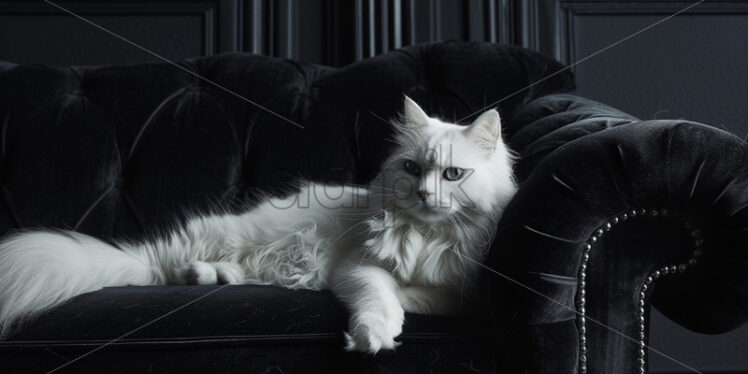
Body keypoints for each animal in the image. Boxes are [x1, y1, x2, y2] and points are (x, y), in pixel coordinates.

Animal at [0, 97, 516, 354]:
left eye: (452, 174)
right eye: (411, 169)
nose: (425, 195)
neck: (428, 235)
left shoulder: (469, 294)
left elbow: (435, 297)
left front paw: (407, 301)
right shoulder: (356, 266)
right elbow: (379, 294)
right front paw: (375, 335)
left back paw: (212, 276)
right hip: (224, 237)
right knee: (168, 267)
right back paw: (194, 272)